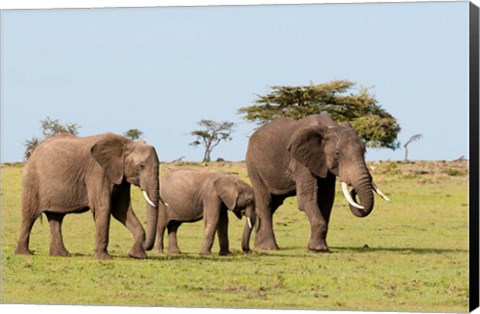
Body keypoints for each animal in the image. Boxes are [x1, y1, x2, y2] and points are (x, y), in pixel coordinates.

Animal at [15, 132, 167, 260]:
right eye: (141, 166)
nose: (146, 245)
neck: (127, 143)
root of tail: (33, 151)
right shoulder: (97, 171)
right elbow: (104, 207)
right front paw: (104, 258)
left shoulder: (121, 177)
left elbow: (121, 210)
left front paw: (137, 256)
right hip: (32, 180)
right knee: (30, 216)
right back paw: (24, 254)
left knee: (56, 218)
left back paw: (61, 255)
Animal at [246, 113, 388, 253]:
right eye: (337, 154)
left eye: (364, 151)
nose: (353, 190)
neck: (328, 126)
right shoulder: (301, 162)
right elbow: (307, 199)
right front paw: (317, 249)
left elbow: (326, 199)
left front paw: (320, 248)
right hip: (253, 166)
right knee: (266, 202)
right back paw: (268, 247)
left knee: (274, 203)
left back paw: (259, 245)